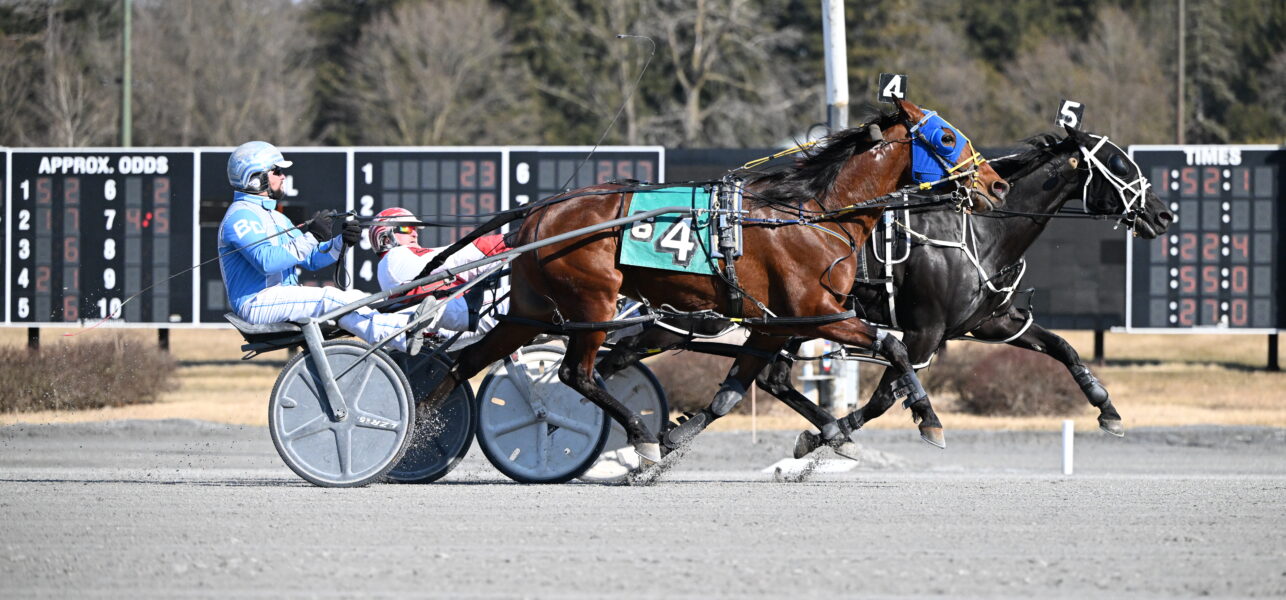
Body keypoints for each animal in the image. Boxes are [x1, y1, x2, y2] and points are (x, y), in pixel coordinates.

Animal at [428, 98, 1010, 464]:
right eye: (947, 137)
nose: (997, 184)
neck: (813, 215)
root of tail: (540, 210)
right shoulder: (817, 312)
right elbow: (894, 345)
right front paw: (928, 420)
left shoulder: (778, 323)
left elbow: (737, 390)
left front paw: (831, 432)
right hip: (592, 303)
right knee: (576, 373)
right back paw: (639, 435)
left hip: (532, 308)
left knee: (467, 362)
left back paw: (424, 427)